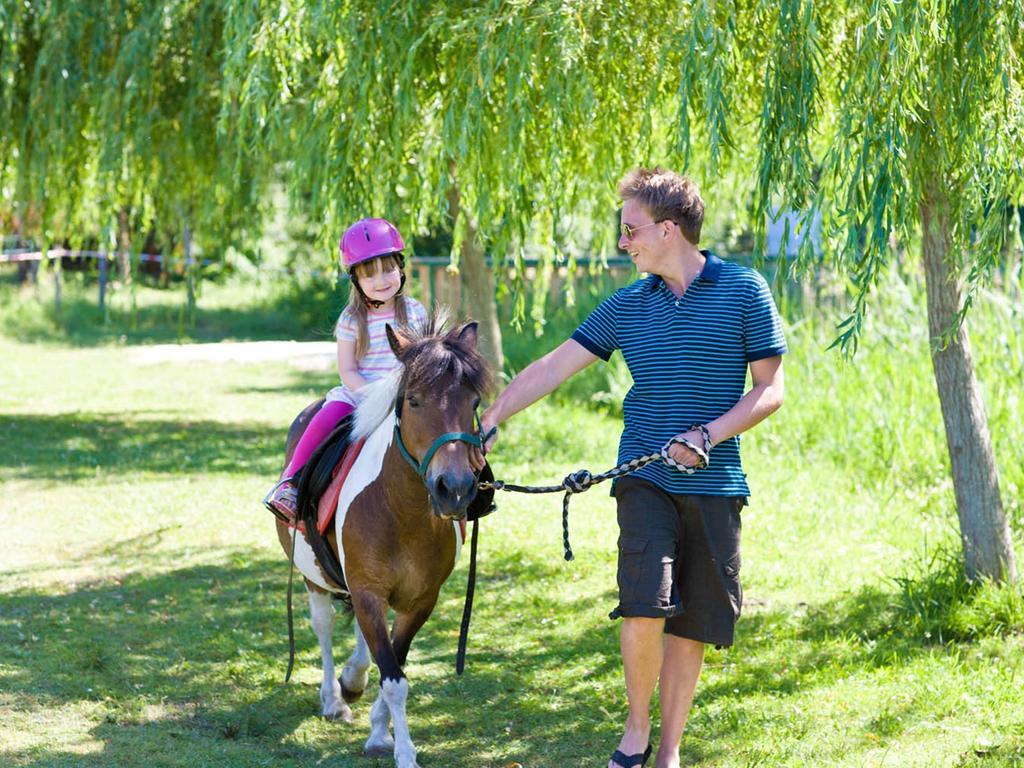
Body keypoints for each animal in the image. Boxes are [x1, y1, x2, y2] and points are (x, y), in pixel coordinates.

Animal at [274, 313, 493, 768]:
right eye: (413, 400)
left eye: (473, 404)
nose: (455, 489)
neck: (401, 512)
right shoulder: (368, 591)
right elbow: (393, 678)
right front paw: (404, 752)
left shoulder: (419, 600)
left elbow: (394, 661)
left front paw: (379, 732)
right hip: (314, 578)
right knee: (323, 627)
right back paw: (333, 699)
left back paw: (352, 680)